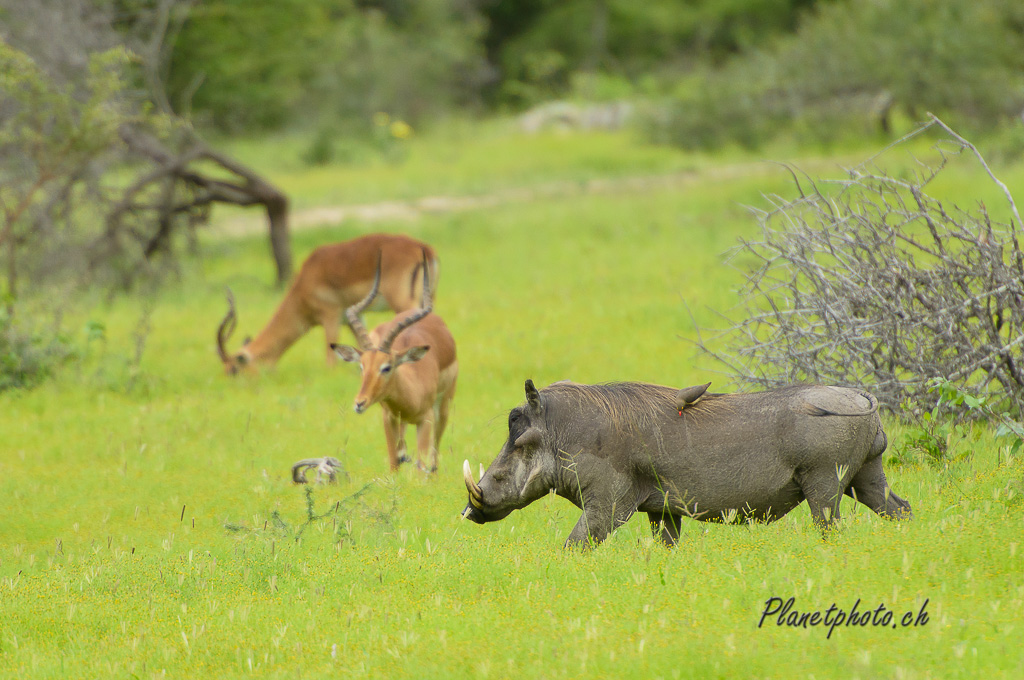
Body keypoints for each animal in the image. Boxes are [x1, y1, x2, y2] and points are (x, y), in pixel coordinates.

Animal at [216, 232, 440, 372]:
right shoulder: (353, 319)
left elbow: (330, 360)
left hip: (404, 304)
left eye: (234, 370)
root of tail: (424, 249)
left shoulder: (330, 315)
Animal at [331, 250, 456, 473]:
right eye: (361, 366)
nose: (359, 403)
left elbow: (423, 466)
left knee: (434, 457)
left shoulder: (426, 420)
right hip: (401, 422)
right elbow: (393, 464)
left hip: (443, 409)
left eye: (387, 367)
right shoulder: (388, 418)